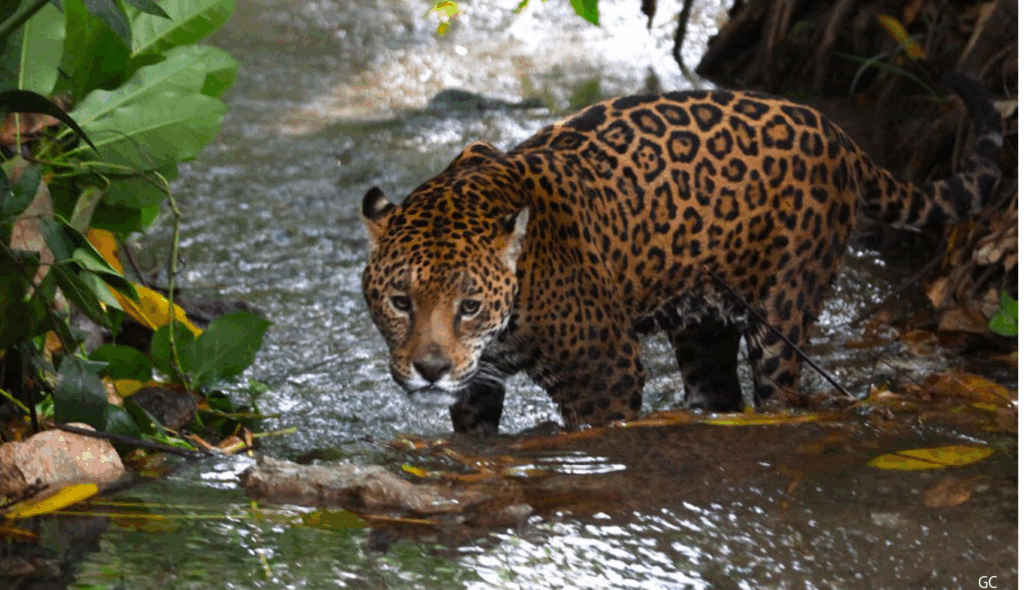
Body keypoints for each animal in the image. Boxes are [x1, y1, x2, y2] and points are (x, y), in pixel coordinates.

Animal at [359, 73, 1002, 435]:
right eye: (400, 301)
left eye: (468, 306)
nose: (431, 369)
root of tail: (836, 132)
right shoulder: (479, 385)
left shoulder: (604, 372)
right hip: (703, 326)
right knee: (718, 391)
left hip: (783, 311)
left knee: (780, 389)